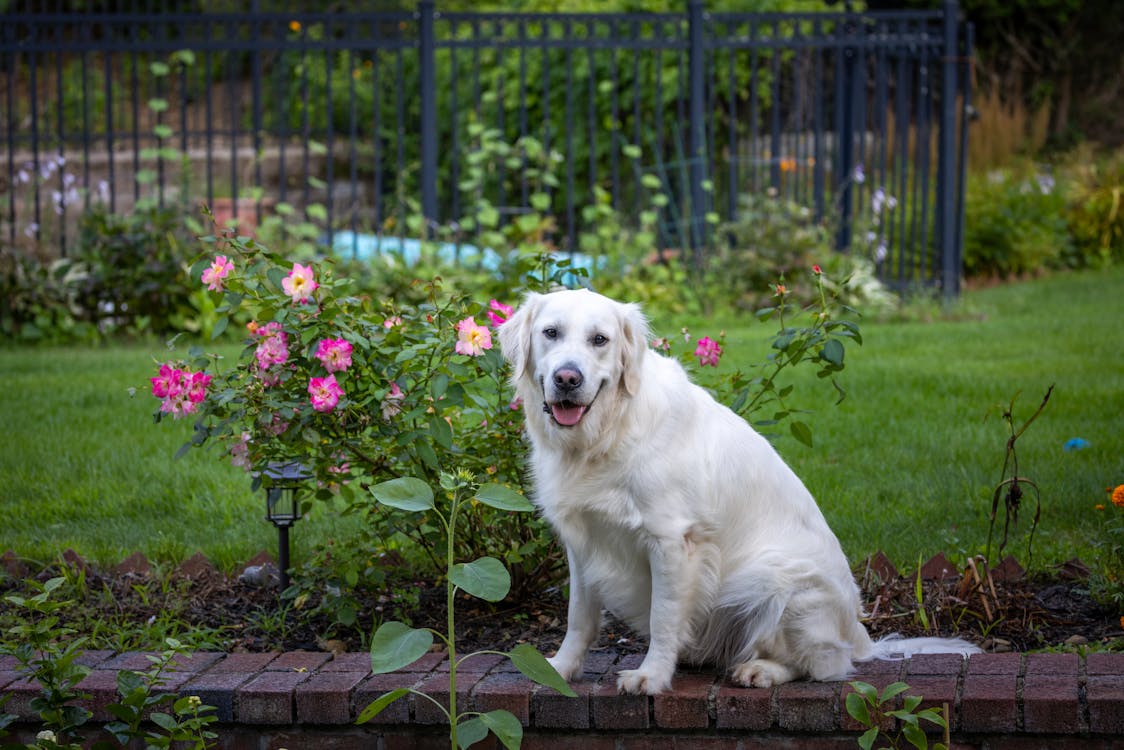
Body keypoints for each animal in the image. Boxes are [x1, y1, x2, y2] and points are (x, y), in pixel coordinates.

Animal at [499, 290, 975, 697]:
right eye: (550, 333)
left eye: (600, 340)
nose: (567, 378)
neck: (604, 435)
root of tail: (860, 635)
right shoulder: (583, 541)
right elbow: (578, 617)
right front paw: (558, 669)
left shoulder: (672, 540)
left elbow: (664, 616)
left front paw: (652, 676)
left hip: (775, 577)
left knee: (826, 664)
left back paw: (761, 670)